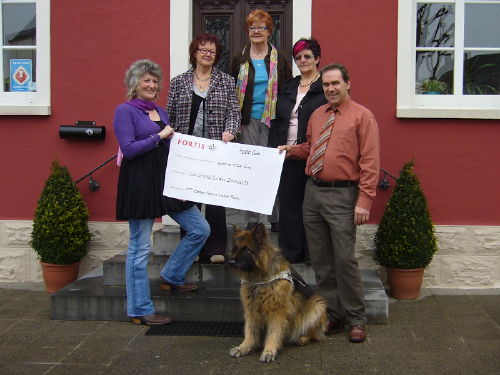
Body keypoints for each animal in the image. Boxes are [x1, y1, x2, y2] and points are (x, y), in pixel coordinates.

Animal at [228, 225, 328, 362]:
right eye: (235, 248)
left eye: (246, 249)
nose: (230, 262)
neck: (259, 280)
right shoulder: (251, 310)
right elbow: (249, 330)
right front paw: (244, 347)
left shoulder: (277, 311)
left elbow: (274, 332)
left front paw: (269, 351)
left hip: (317, 307)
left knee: (314, 334)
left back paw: (302, 338)